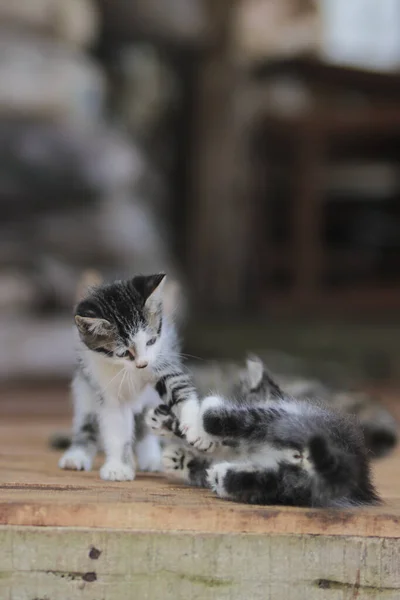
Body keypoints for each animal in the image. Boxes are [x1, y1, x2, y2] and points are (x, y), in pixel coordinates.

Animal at [58, 274, 203, 480]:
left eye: (151, 341)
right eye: (124, 353)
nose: (142, 364)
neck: (129, 370)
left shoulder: (161, 357)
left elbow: (178, 385)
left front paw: (194, 425)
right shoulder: (106, 388)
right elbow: (116, 427)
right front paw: (118, 467)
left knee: (146, 425)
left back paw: (152, 459)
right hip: (83, 388)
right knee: (87, 421)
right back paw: (77, 455)